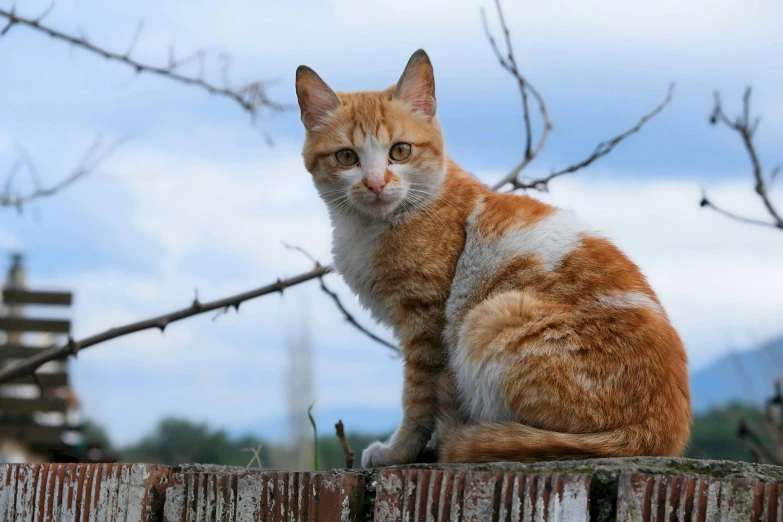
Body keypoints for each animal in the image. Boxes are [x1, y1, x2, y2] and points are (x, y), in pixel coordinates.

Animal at [296, 48, 692, 464]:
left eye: (400, 151)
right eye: (346, 157)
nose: (375, 183)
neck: (372, 227)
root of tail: (659, 433)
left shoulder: (425, 325)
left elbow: (418, 399)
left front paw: (399, 451)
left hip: (490, 316)